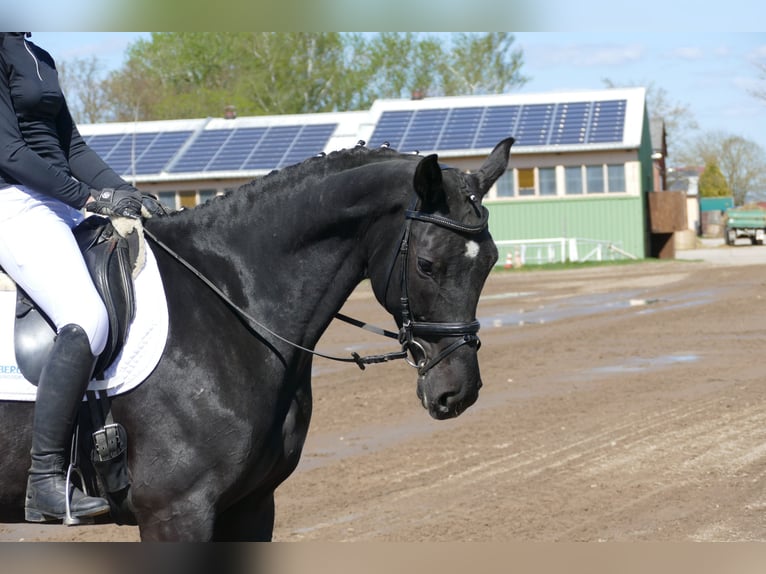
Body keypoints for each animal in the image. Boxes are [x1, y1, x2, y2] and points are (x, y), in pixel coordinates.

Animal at [0, 137, 513, 541]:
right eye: (427, 264)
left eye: (490, 260)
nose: (458, 391)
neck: (227, 299)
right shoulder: (175, 512)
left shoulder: (251, 503)